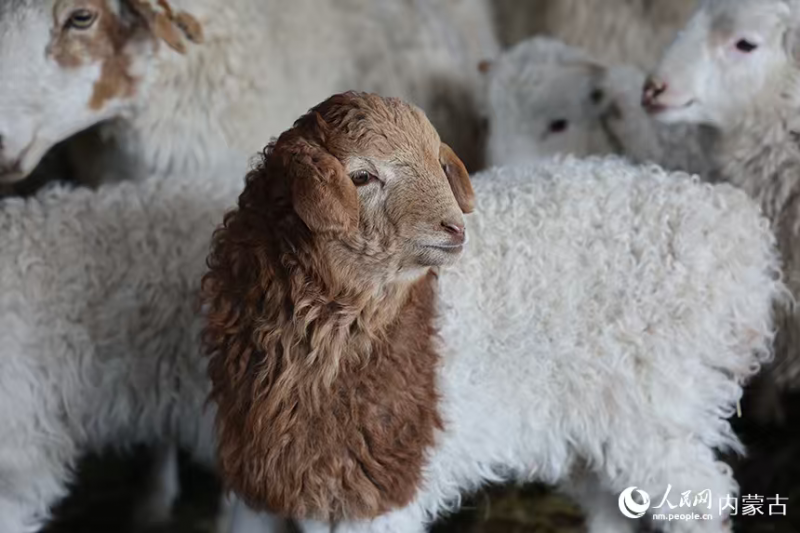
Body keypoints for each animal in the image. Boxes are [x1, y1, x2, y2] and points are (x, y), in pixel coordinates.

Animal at [201, 92, 783, 533]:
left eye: (438, 164)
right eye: (362, 177)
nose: (454, 229)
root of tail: (732, 229)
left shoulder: (381, 484)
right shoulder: (262, 485)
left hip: (656, 404)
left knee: (699, 496)